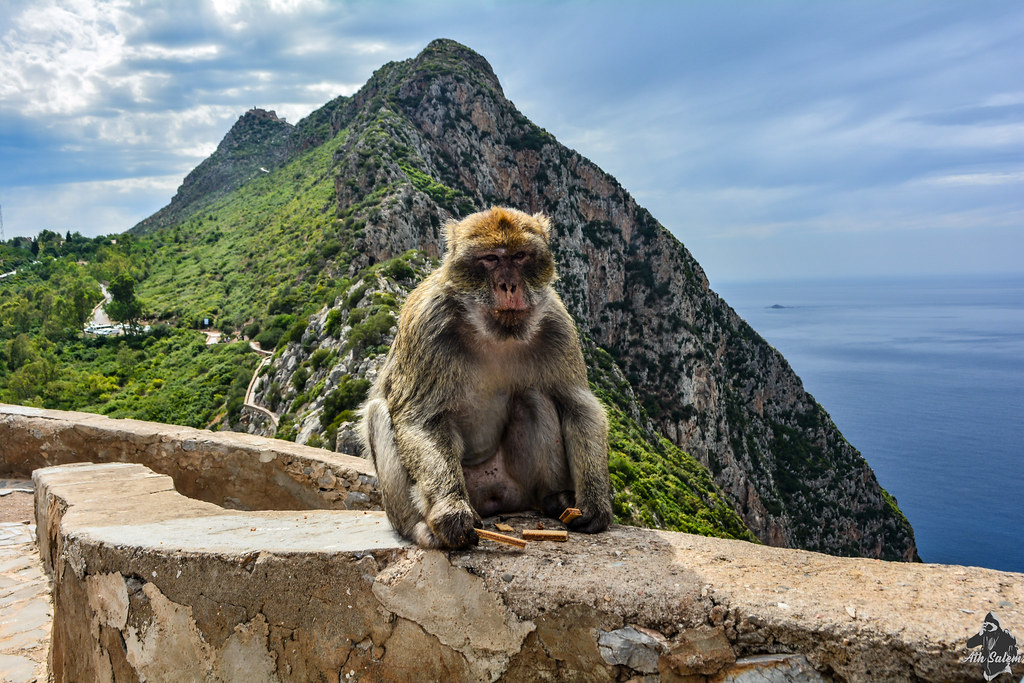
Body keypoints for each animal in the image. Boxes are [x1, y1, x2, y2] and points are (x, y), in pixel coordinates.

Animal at [358, 206, 612, 549]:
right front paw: (451, 510)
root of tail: (492, 498)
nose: (509, 285)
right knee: (377, 413)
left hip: (515, 484)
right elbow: (420, 419)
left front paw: (595, 502)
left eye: (519, 256)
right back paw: (420, 530)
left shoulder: (558, 325)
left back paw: (552, 499)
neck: (493, 333)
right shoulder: (427, 324)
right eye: (490, 258)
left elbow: (578, 405)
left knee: (533, 395)